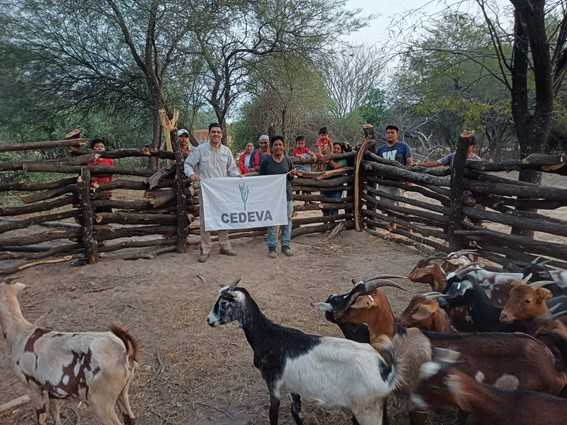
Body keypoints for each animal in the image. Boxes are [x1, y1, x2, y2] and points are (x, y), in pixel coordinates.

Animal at [0, 280, 138, 422]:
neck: (20, 332)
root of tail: (124, 353)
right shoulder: (51, 388)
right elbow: (54, 412)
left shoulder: (32, 387)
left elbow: (42, 418)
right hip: (122, 391)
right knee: (130, 418)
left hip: (100, 401)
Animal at [207, 278, 400, 424]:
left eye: (224, 303)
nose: (209, 320)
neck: (268, 335)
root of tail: (386, 369)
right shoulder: (293, 386)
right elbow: (296, 413)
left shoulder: (273, 382)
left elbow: (273, 415)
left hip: (367, 409)